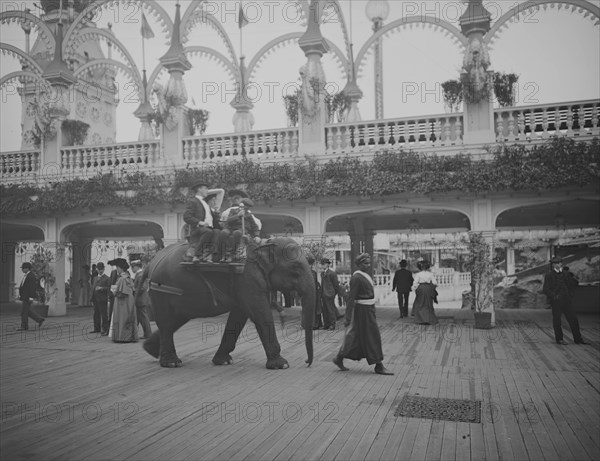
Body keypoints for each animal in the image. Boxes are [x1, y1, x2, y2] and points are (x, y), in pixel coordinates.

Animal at [142, 237, 316, 370]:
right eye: (296, 269)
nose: (307, 362)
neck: (264, 244)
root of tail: (150, 264)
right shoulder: (247, 278)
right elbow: (259, 312)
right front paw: (282, 365)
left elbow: (239, 316)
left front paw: (224, 361)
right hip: (161, 291)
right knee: (166, 322)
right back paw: (172, 363)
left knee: (175, 320)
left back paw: (150, 350)